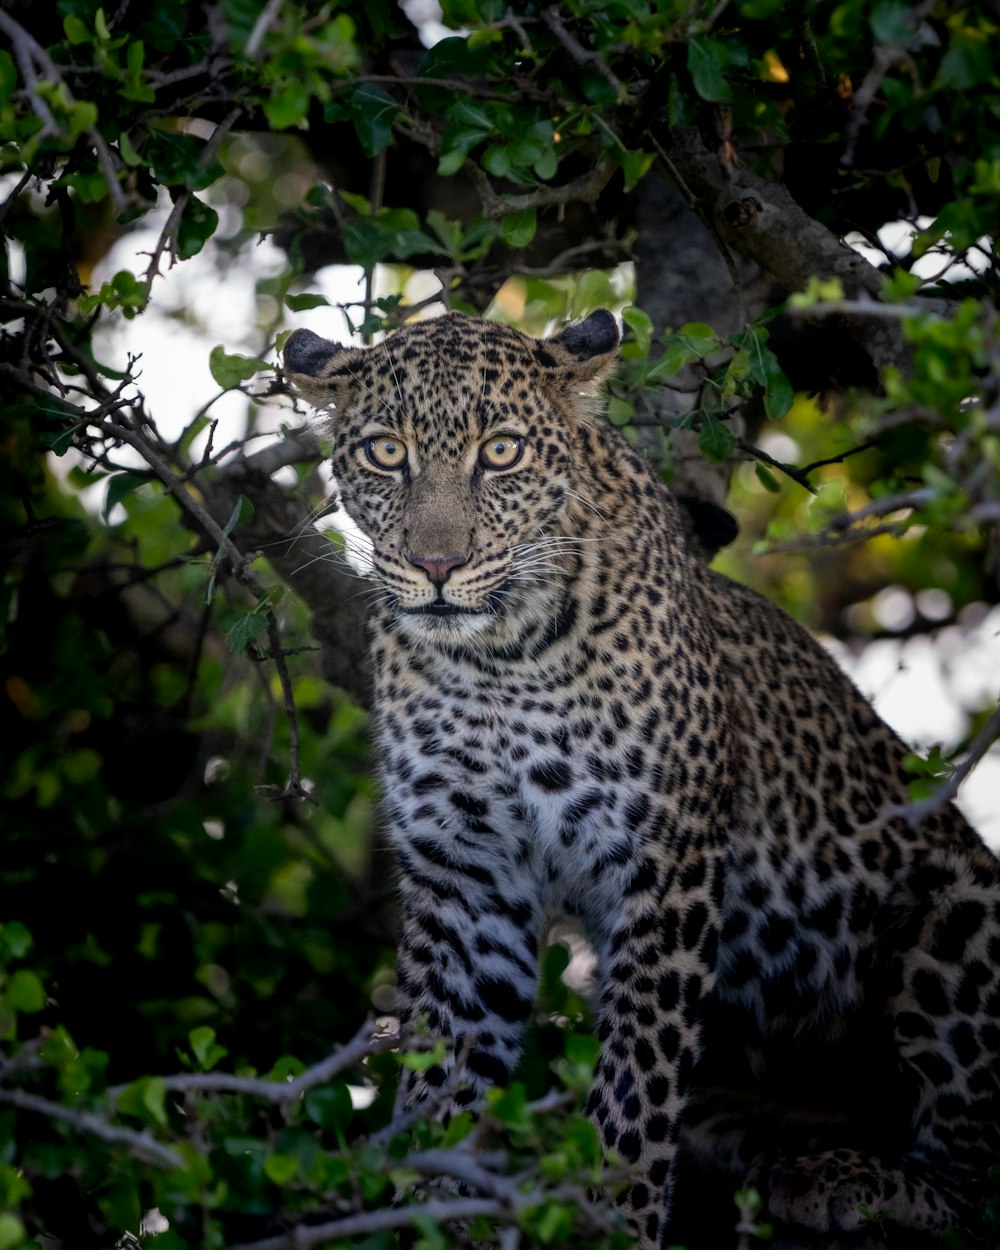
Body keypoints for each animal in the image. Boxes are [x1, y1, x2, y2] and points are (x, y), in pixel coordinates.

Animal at [283, 310, 1000, 1250]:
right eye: (386, 453)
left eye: (501, 452)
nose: (438, 568)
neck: (497, 659)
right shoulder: (466, 875)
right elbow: (444, 1071)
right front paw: (427, 1208)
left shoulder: (662, 867)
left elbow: (637, 1080)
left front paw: (609, 1219)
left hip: (959, 919)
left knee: (973, 1174)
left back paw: (845, 1181)